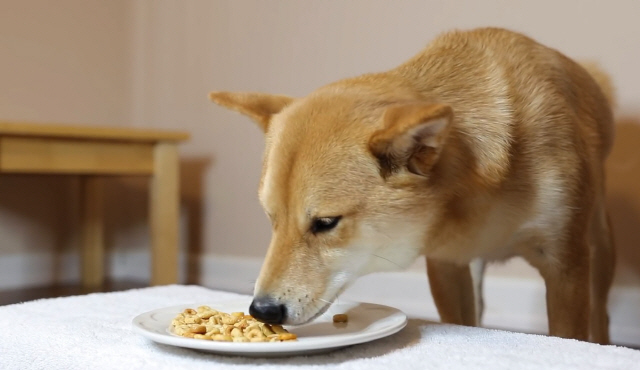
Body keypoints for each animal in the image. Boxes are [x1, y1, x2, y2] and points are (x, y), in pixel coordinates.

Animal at [209, 26, 616, 344]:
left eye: (325, 223)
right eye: (271, 219)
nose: (262, 310)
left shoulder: (564, 265)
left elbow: (568, 335)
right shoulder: (447, 262)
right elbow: (463, 320)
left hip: (597, 247)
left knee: (601, 311)